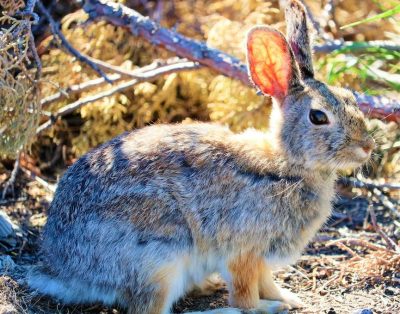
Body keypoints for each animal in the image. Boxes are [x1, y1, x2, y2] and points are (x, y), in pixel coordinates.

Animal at [26, 0, 374, 312]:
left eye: (349, 97)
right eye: (318, 117)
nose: (367, 146)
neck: (288, 164)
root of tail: (65, 271)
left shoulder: (261, 259)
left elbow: (268, 283)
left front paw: (287, 299)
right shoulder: (243, 252)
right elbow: (245, 296)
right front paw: (269, 307)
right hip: (160, 258)